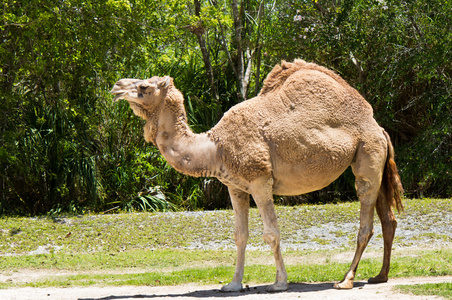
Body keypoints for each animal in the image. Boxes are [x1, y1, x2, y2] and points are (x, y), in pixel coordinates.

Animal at [109, 59, 402, 292]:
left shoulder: (260, 180)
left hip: (367, 153)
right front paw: (233, 284)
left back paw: (346, 280)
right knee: (388, 218)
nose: (116, 86)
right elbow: (240, 235)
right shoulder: (235, 186)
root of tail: (378, 127)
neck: (216, 147)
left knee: (365, 221)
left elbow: (271, 233)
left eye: (144, 87)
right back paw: (380, 276)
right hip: (374, 163)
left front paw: (280, 283)